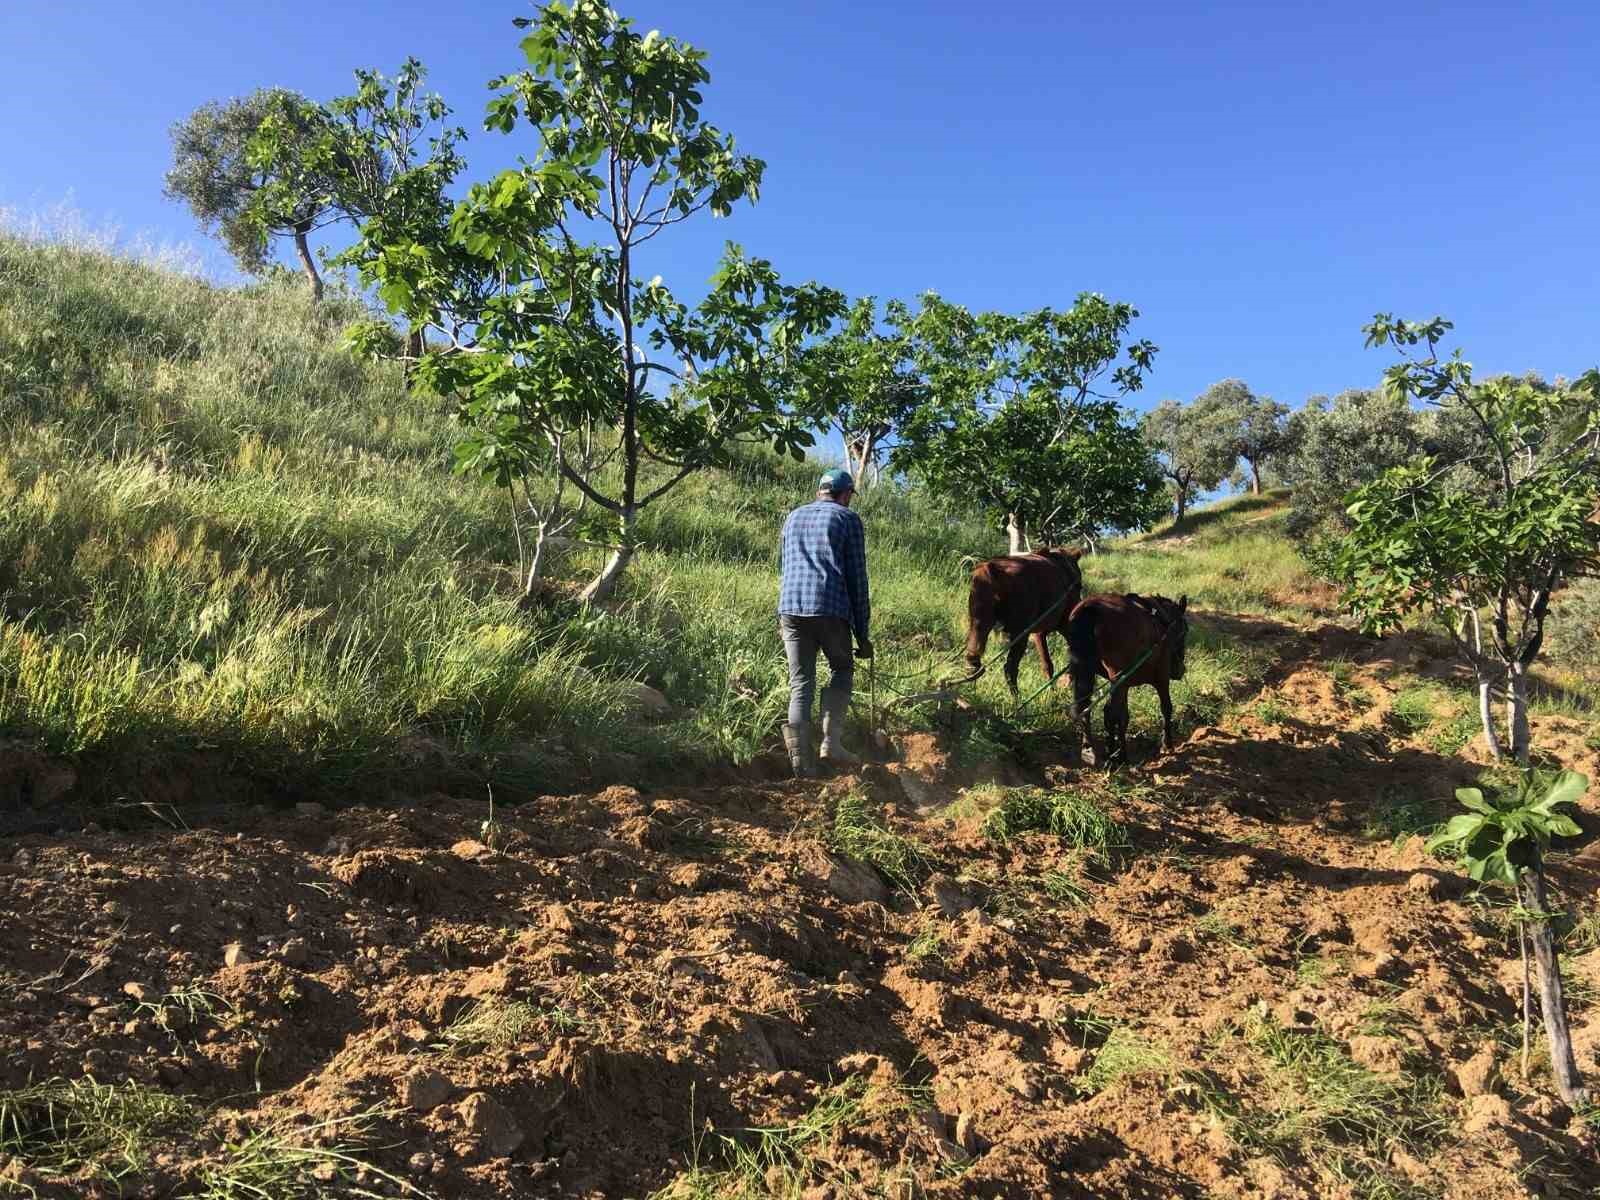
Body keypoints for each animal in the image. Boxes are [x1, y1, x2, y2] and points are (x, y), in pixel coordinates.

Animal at [960, 547, 1088, 694]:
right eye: (1079, 586)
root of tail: (991, 569)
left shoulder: (1039, 633)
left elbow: (1047, 664)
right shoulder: (1064, 626)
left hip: (978, 623)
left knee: (972, 663)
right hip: (1020, 632)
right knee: (1010, 668)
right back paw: (1017, 698)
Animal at [1062, 592, 1190, 771]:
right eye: (1184, 631)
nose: (1180, 670)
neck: (1163, 624)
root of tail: (1092, 609)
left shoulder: (1124, 683)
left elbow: (1123, 717)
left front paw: (1122, 755)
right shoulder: (1161, 678)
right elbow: (1166, 708)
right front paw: (1167, 744)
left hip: (1094, 673)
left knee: (1087, 708)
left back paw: (1092, 750)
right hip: (1119, 677)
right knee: (1109, 713)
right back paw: (1109, 754)